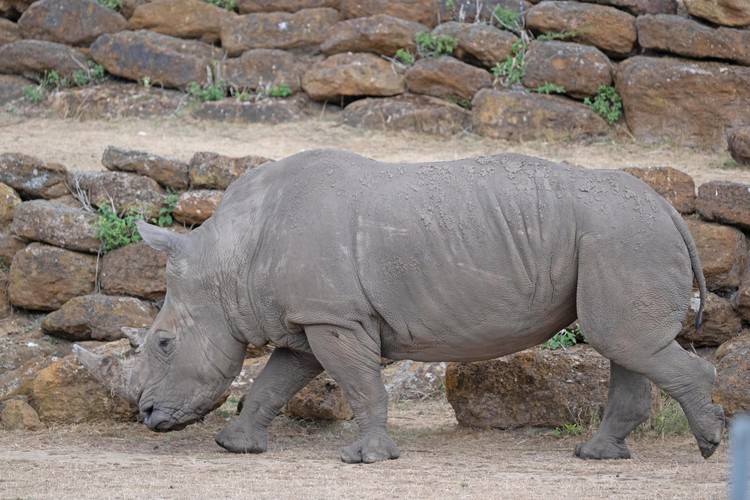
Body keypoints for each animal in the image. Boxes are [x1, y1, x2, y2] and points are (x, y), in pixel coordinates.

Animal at [74, 149, 724, 463]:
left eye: (163, 344)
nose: (147, 417)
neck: (228, 258)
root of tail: (672, 209)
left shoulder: (333, 317)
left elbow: (358, 384)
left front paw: (364, 460)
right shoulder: (310, 317)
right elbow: (274, 381)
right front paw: (235, 447)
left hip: (622, 234)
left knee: (624, 341)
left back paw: (709, 446)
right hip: (617, 236)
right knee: (624, 344)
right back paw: (596, 456)